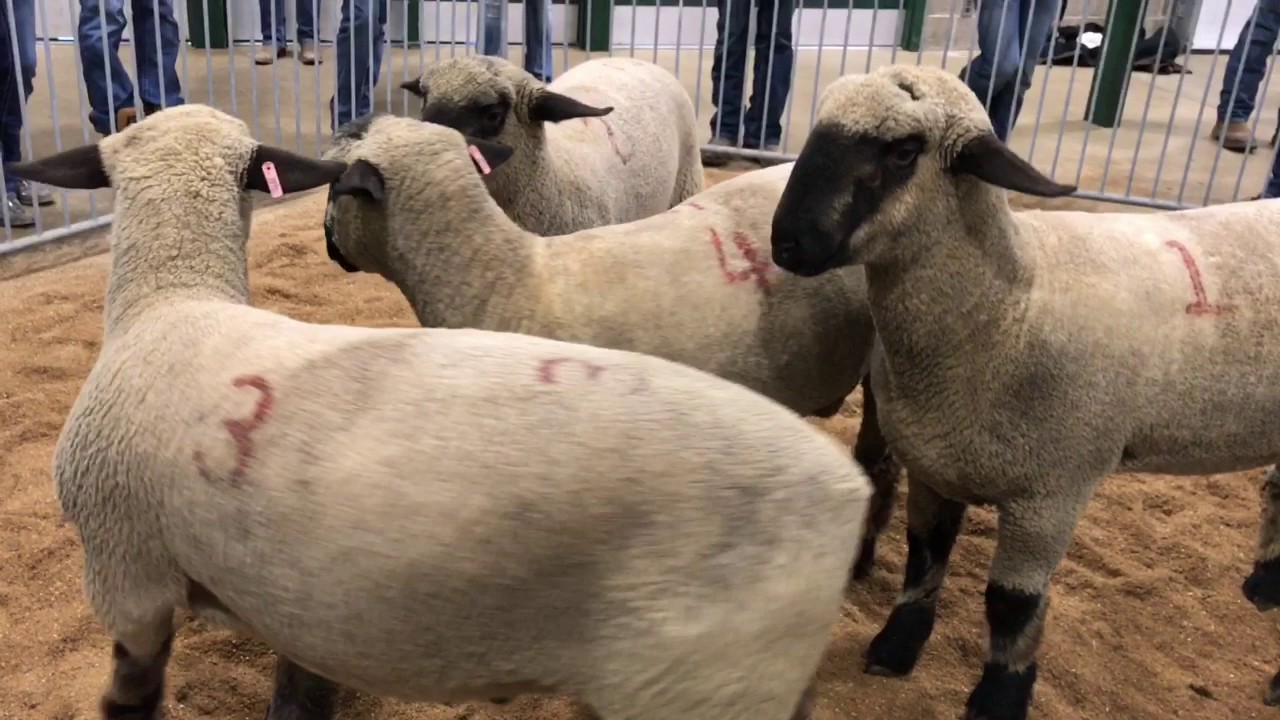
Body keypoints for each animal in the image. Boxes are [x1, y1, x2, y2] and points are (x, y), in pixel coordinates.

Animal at [768, 61, 1280, 720]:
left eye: (905, 150)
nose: (787, 244)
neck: (1011, 303)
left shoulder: (1054, 489)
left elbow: (1010, 603)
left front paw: (999, 696)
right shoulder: (936, 462)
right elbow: (924, 552)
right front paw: (895, 646)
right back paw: (1267, 584)